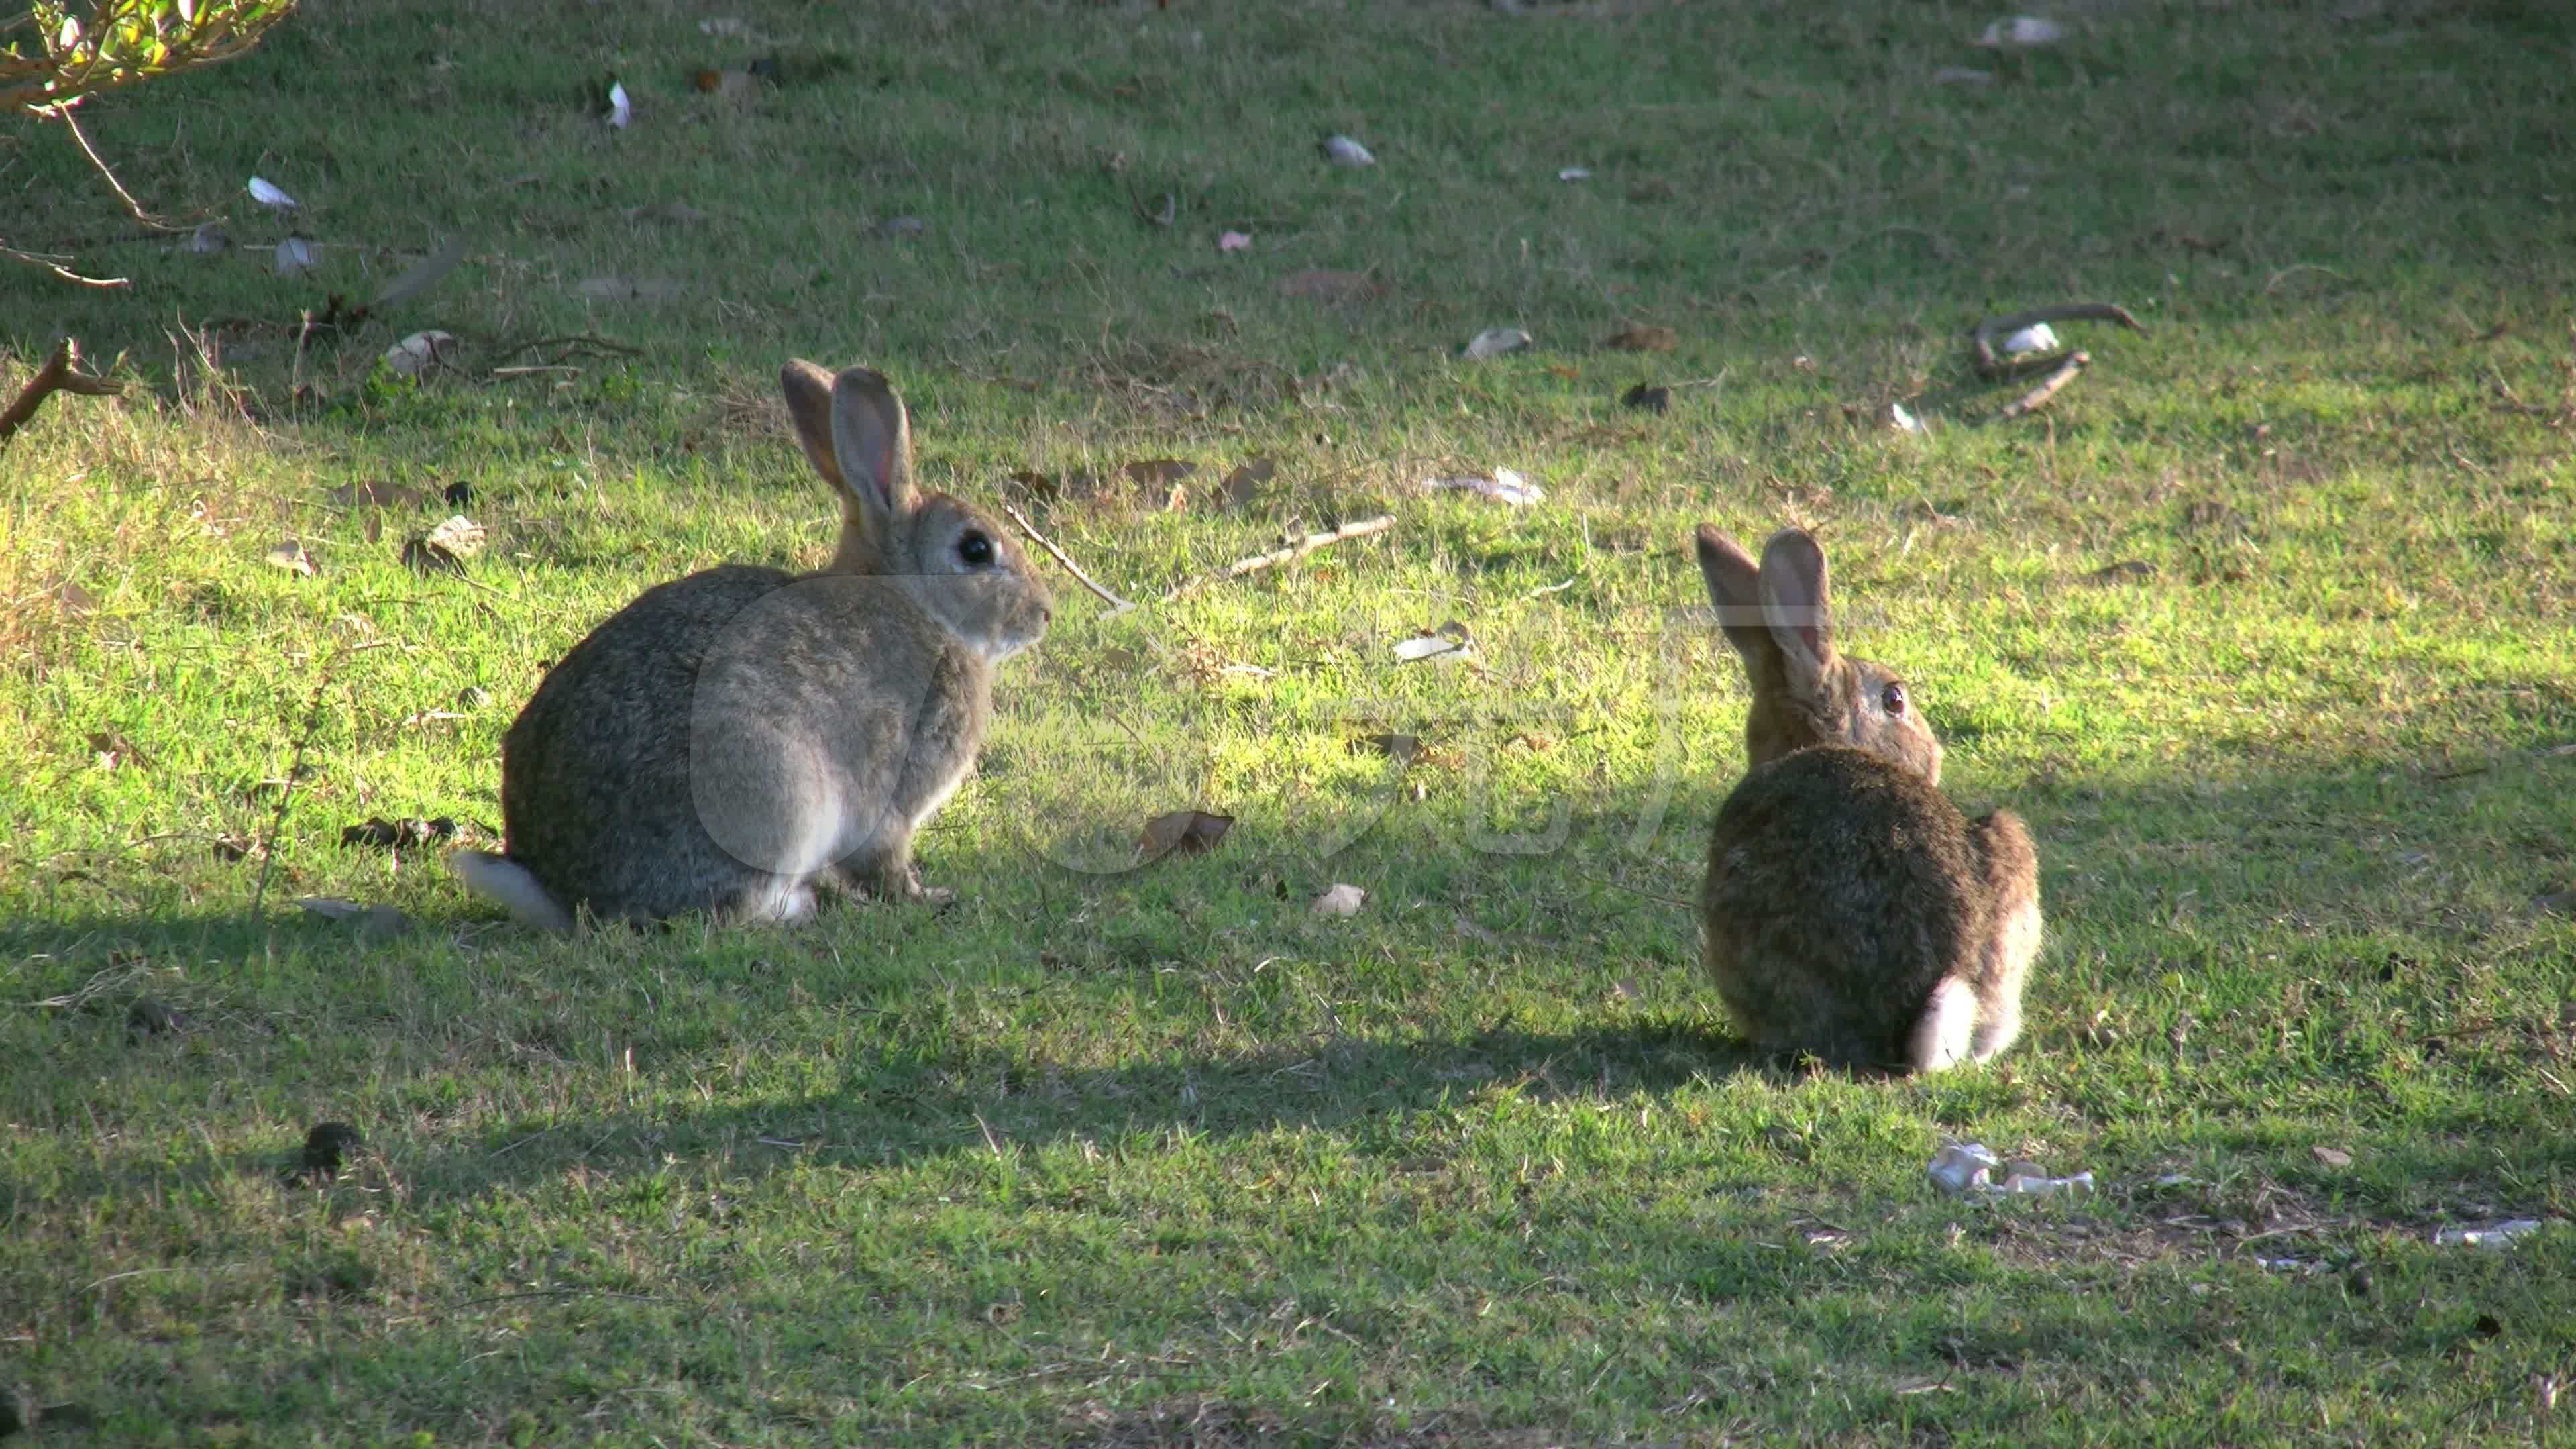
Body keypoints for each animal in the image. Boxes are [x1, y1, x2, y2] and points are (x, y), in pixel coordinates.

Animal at [448, 356, 1051, 928]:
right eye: (976, 549)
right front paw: (928, 897)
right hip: (776, 797)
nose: (1043, 613)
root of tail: (565, 894)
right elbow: (885, 862)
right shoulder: (893, 798)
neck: (918, 604)